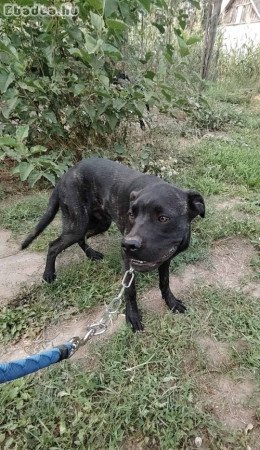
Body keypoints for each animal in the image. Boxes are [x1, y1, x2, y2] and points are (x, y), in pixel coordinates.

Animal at [21, 158, 205, 330]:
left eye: (163, 218)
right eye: (131, 214)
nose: (128, 244)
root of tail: (65, 175)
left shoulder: (165, 258)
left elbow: (165, 283)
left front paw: (171, 303)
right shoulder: (127, 261)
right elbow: (130, 291)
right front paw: (132, 316)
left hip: (100, 223)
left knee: (83, 237)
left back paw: (91, 254)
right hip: (77, 224)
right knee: (54, 245)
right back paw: (48, 274)